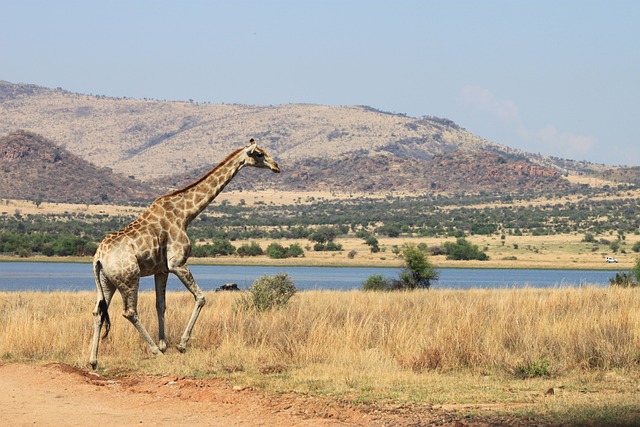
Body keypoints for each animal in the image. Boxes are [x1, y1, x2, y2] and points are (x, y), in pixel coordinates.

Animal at [89, 140, 278, 368]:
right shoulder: (177, 263)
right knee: (129, 311)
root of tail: (98, 257)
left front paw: (165, 344)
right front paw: (180, 345)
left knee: (98, 311)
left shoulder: (161, 270)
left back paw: (93, 361)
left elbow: (160, 305)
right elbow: (201, 297)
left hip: (107, 281)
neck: (186, 213)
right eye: (259, 154)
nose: (276, 166)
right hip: (129, 278)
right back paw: (153, 351)